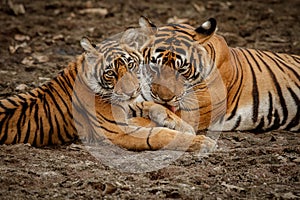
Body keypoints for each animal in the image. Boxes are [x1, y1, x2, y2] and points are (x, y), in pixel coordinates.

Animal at [0, 32, 216, 152]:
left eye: (130, 65)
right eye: (111, 73)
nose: (133, 91)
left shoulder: (128, 104)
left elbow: (152, 106)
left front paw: (182, 125)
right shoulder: (117, 131)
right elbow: (158, 135)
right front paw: (202, 142)